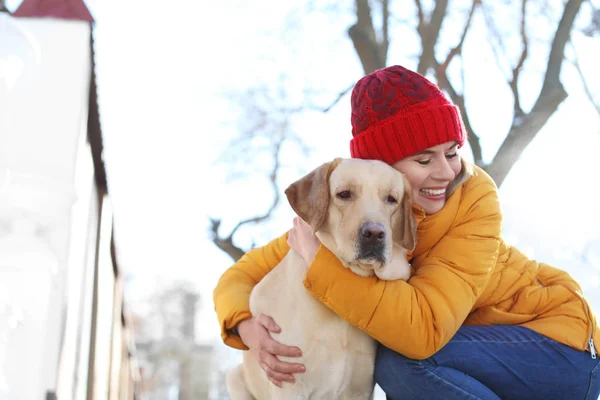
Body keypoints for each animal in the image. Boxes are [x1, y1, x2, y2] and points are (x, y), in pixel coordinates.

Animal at [226, 159, 418, 400]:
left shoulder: (360, 389)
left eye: (392, 199)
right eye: (344, 194)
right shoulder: (290, 385)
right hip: (234, 378)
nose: (375, 234)